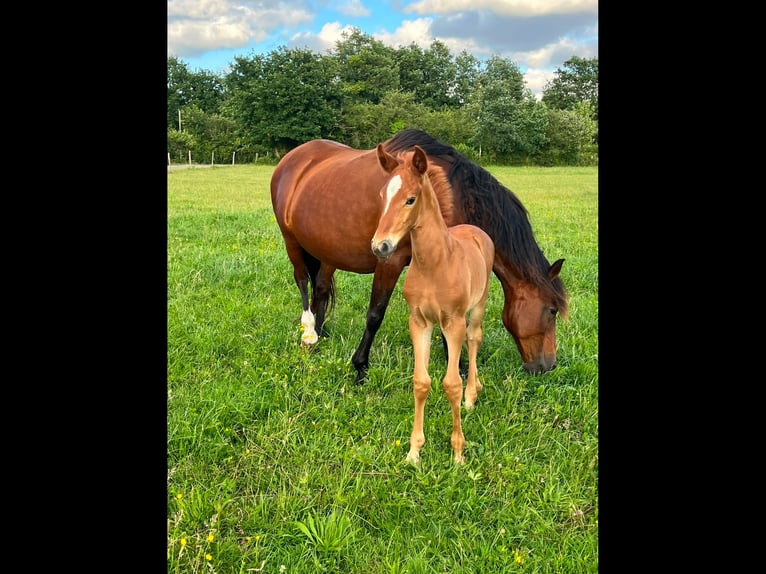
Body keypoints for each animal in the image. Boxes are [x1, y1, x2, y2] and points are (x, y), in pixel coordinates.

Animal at [270, 128, 568, 384]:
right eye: (552, 310)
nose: (548, 365)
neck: (446, 194)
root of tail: (292, 159)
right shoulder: (389, 261)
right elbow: (374, 315)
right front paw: (360, 368)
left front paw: (457, 367)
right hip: (291, 242)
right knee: (302, 283)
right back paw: (309, 334)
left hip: (327, 251)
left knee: (320, 288)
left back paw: (320, 333)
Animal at [371, 144, 495, 465]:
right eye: (382, 196)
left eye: (410, 199)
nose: (380, 246)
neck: (435, 264)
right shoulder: (419, 322)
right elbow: (421, 382)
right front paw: (414, 452)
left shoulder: (453, 322)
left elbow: (451, 384)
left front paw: (458, 453)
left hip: (478, 306)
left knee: (474, 338)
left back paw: (472, 395)